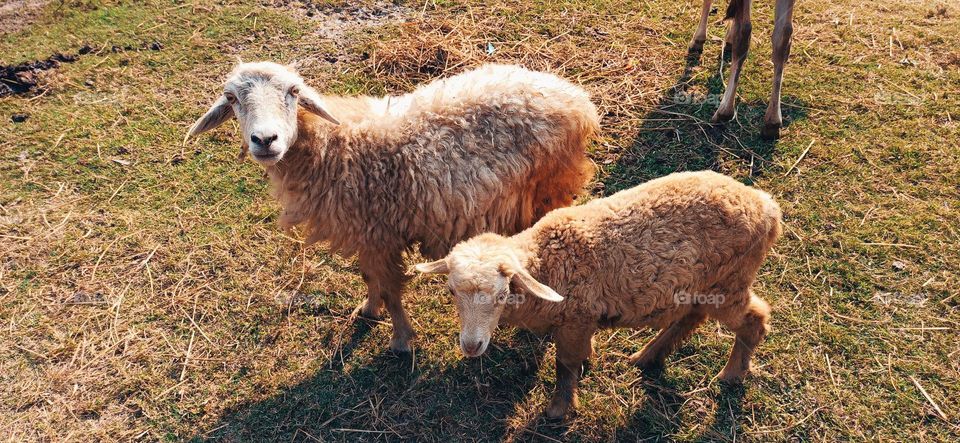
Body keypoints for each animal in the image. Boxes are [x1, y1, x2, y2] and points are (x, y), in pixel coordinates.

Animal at [184, 61, 598, 352]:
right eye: (232, 98)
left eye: (293, 91)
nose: (265, 140)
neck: (336, 148)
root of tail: (578, 101)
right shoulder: (367, 235)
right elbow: (370, 280)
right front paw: (368, 311)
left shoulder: (381, 234)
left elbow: (392, 290)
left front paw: (400, 339)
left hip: (551, 185)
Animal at [415, 170, 781, 419]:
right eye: (451, 291)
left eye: (501, 295)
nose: (470, 345)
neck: (547, 261)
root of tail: (767, 207)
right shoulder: (581, 319)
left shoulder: (575, 318)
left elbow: (565, 365)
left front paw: (558, 410)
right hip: (704, 285)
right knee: (691, 317)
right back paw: (648, 356)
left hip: (730, 279)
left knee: (753, 318)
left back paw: (731, 374)